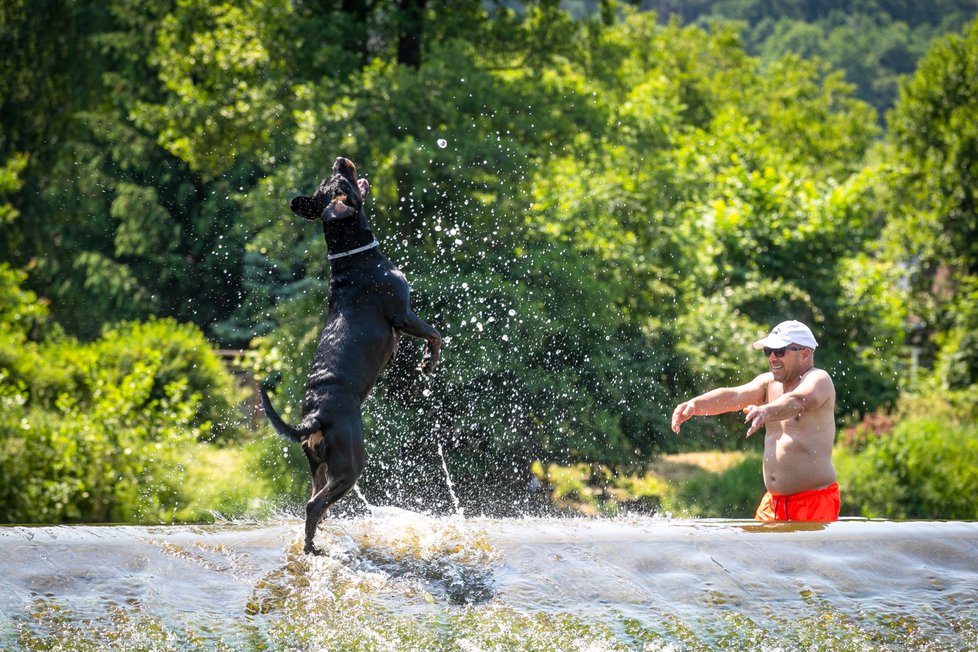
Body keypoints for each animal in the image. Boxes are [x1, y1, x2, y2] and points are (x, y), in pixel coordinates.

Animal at [262, 157, 440, 556]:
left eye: (331, 178)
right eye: (341, 180)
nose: (340, 160)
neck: (354, 255)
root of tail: (313, 417)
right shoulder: (402, 315)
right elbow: (435, 333)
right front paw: (428, 361)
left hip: (318, 464)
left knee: (315, 499)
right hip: (350, 463)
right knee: (315, 504)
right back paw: (313, 547)